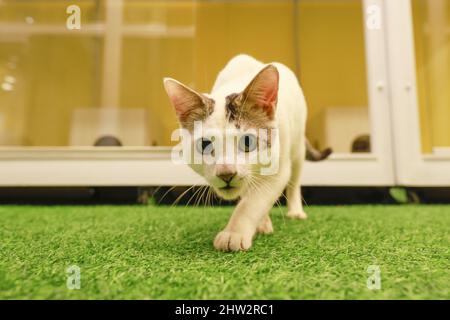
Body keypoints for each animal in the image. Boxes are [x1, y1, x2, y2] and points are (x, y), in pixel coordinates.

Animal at [163, 53, 328, 251]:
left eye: (248, 142)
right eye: (204, 145)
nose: (226, 173)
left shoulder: (278, 169)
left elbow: (252, 203)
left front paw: (234, 233)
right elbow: (249, 194)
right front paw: (258, 222)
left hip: (297, 146)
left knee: (294, 181)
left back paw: (295, 211)